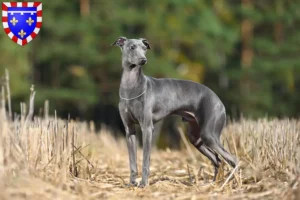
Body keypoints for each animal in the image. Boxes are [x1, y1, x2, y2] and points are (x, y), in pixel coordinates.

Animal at [112, 36, 237, 188]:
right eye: (132, 47)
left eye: (144, 48)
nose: (143, 60)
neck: (131, 87)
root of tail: (219, 101)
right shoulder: (129, 129)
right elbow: (132, 162)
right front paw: (131, 184)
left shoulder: (147, 128)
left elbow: (146, 160)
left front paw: (144, 184)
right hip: (195, 138)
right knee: (217, 159)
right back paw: (212, 185)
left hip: (209, 135)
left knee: (232, 159)